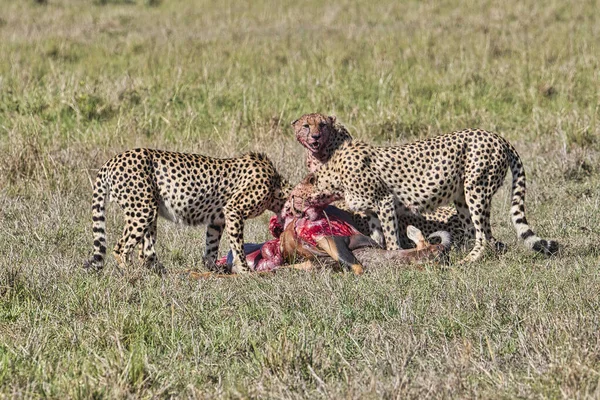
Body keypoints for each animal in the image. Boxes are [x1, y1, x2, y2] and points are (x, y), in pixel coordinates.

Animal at [84, 148, 290, 274]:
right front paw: (245, 270)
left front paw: (212, 268)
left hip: (150, 211)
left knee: (146, 251)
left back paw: (158, 272)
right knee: (121, 248)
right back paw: (131, 273)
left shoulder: (217, 220)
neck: (276, 187)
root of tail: (112, 160)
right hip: (143, 210)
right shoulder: (234, 210)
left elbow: (211, 246)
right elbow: (237, 245)